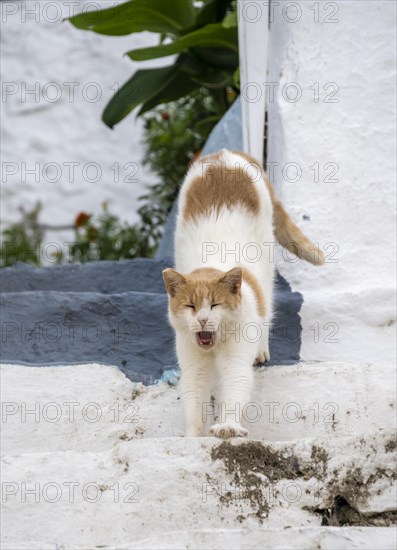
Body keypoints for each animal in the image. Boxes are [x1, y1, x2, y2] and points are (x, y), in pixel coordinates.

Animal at [162, 149, 320, 442]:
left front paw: (228, 426)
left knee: (267, 308)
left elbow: (234, 389)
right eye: (190, 306)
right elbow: (193, 400)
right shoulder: (193, 368)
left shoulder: (235, 361)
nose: (202, 320)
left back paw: (261, 350)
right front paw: (192, 436)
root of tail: (225, 153)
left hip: (268, 263)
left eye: (215, 305)